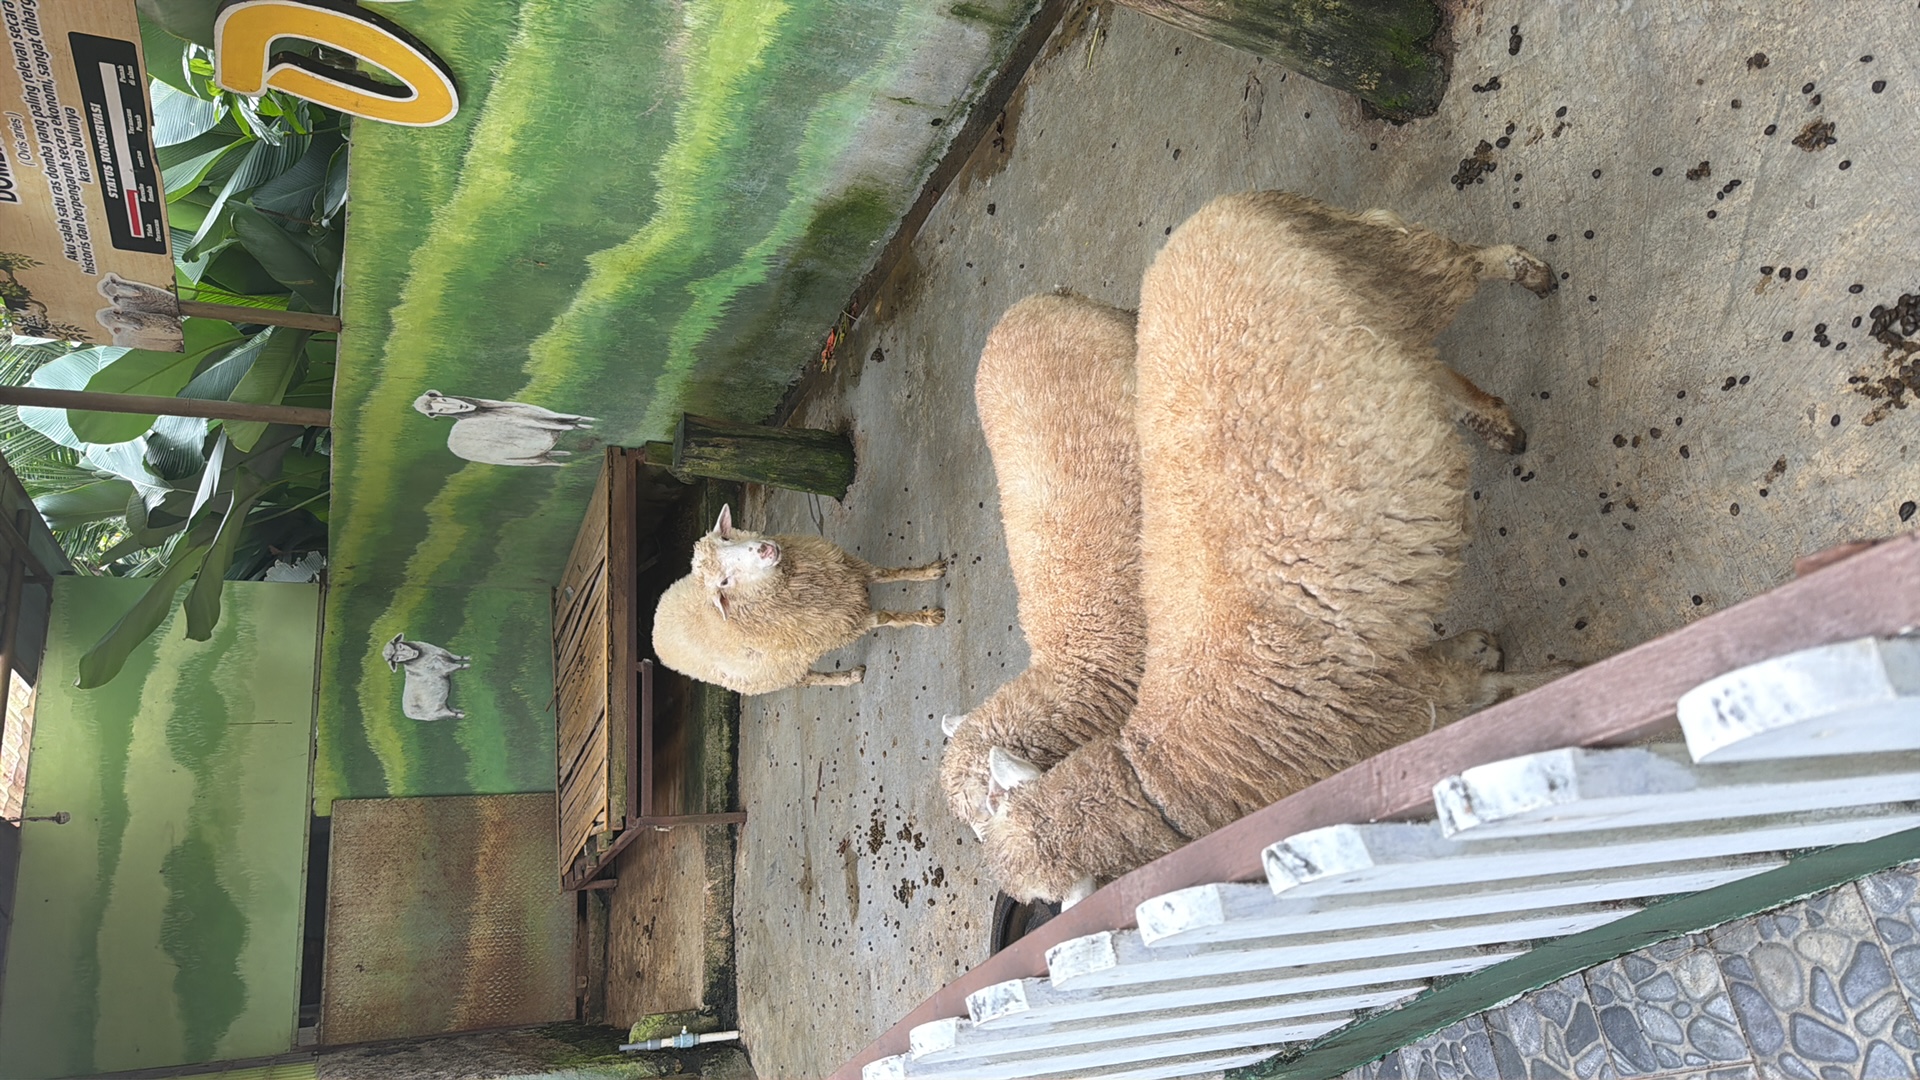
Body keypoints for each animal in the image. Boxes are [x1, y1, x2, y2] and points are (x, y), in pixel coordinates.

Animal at [651, 505, 947, 694]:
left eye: (725, 537)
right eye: (724, 582)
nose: (765, 549)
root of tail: (656, 628)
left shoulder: (850, 570)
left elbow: (886, 573)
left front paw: (928, 571)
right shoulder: (846, 624)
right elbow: (888, 617)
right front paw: (927, 617)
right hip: (772, 676)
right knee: (807, 680)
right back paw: (848, 677)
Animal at [981, 191, 1568, 903]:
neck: (1180, 767)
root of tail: (1205, 217)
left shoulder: (1400, 715)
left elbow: (1507, 696)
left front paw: (1560, 682)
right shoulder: (1399, 689)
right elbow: (1468, 669)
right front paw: (1485, 646)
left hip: (1386, 264)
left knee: (1460, 261)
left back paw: (1528, 272)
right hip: (1372, 309)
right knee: (1432, 372)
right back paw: (1496, 423)